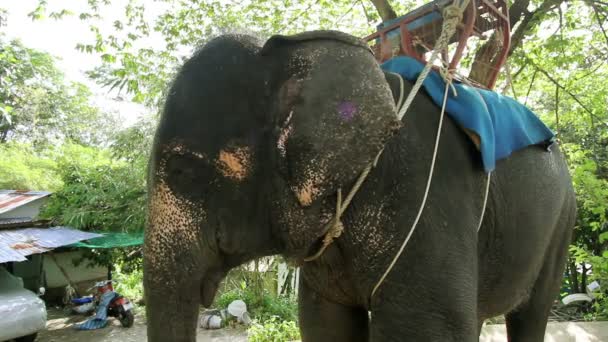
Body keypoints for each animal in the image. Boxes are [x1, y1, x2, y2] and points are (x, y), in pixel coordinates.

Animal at [145, 30, 576, 342]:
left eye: (184, 171)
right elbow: (325, 325)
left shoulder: (427, 202)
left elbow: (428, 329)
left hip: (561, 226)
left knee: (531, 313)